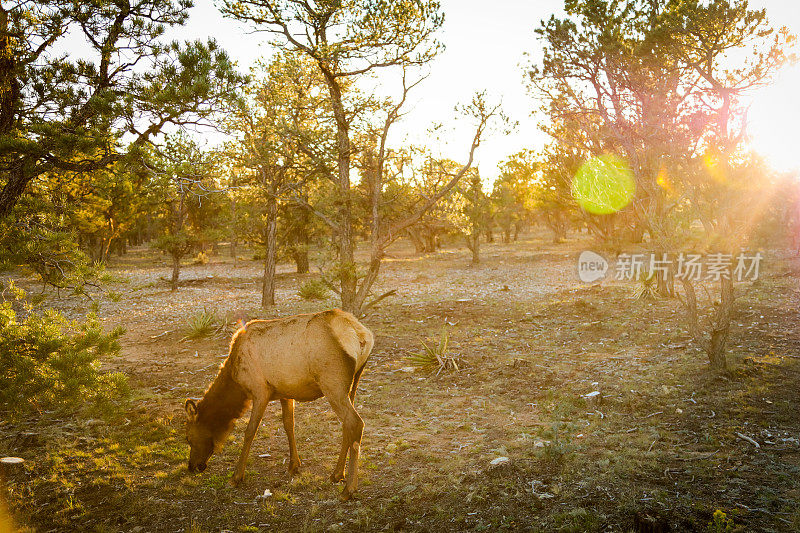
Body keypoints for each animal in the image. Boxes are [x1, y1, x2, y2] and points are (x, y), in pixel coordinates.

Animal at [185, 308, 376, 498]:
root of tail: (362, 335)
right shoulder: (286, 393)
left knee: (355, 423)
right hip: (352, 382)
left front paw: (236, 476)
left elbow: (250, 432)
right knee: (347, 425)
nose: (192, 466)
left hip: (332, 383)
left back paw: (349, 489)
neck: (236, 381)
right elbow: (288, 425)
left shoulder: (260, 391)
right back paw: (336, 474)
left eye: (188, 438)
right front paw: (294, 465)